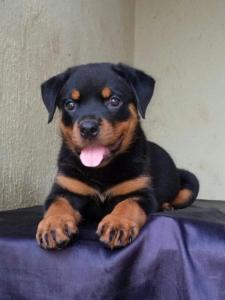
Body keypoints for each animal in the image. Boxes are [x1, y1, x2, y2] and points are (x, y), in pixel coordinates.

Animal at [36, 63, 200, 251]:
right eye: (70, 104)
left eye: (114, 101)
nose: (88, 127)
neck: (101, 170)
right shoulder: (66, 189)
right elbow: (57, 205)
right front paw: (52, 225)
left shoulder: (139, 192)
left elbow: (127, 205)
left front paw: (118, 224)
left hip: (190, 183)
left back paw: (166, 205)